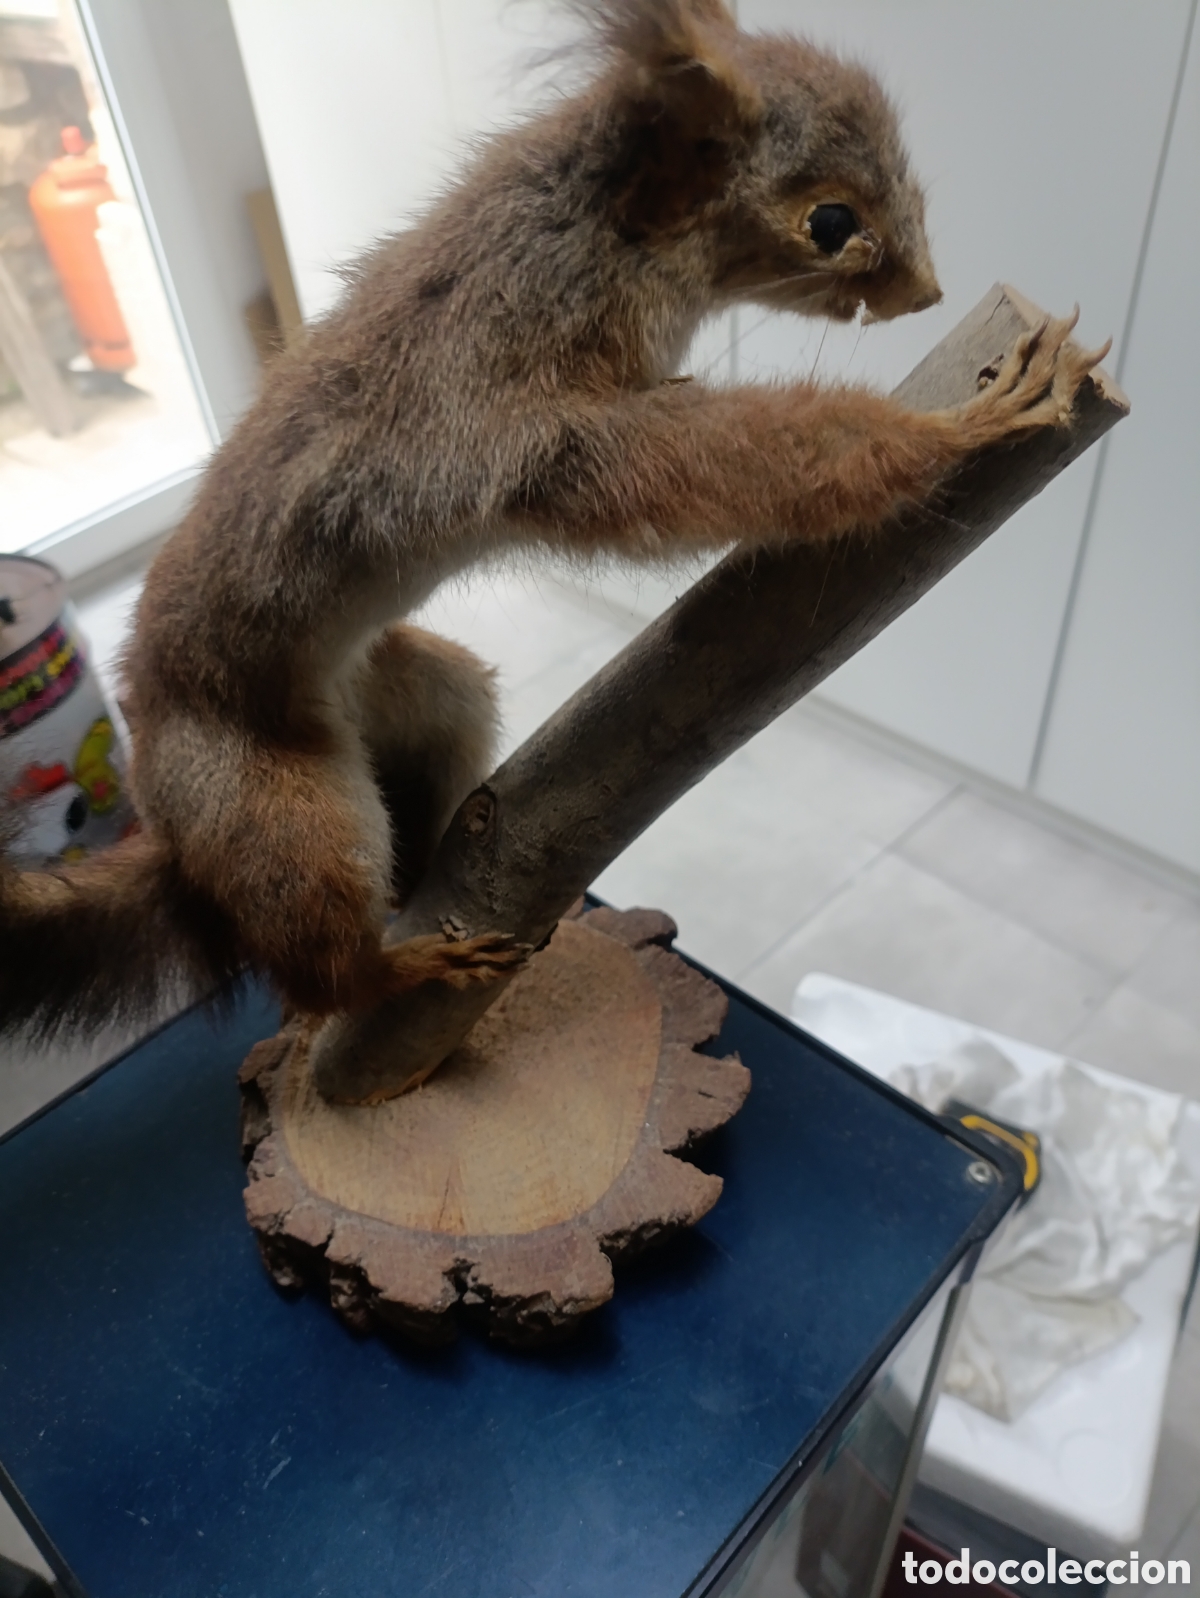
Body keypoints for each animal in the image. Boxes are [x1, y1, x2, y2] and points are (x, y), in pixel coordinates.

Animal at [0, 0, 1108, 1042]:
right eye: (830, 222)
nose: (927, 292)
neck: (594, 236)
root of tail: (172, 829)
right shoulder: (514, 417)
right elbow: (727, 461)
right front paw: (968, 424)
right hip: (271, 811)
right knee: (318, 966)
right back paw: (397, 968)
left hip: (419, 699)